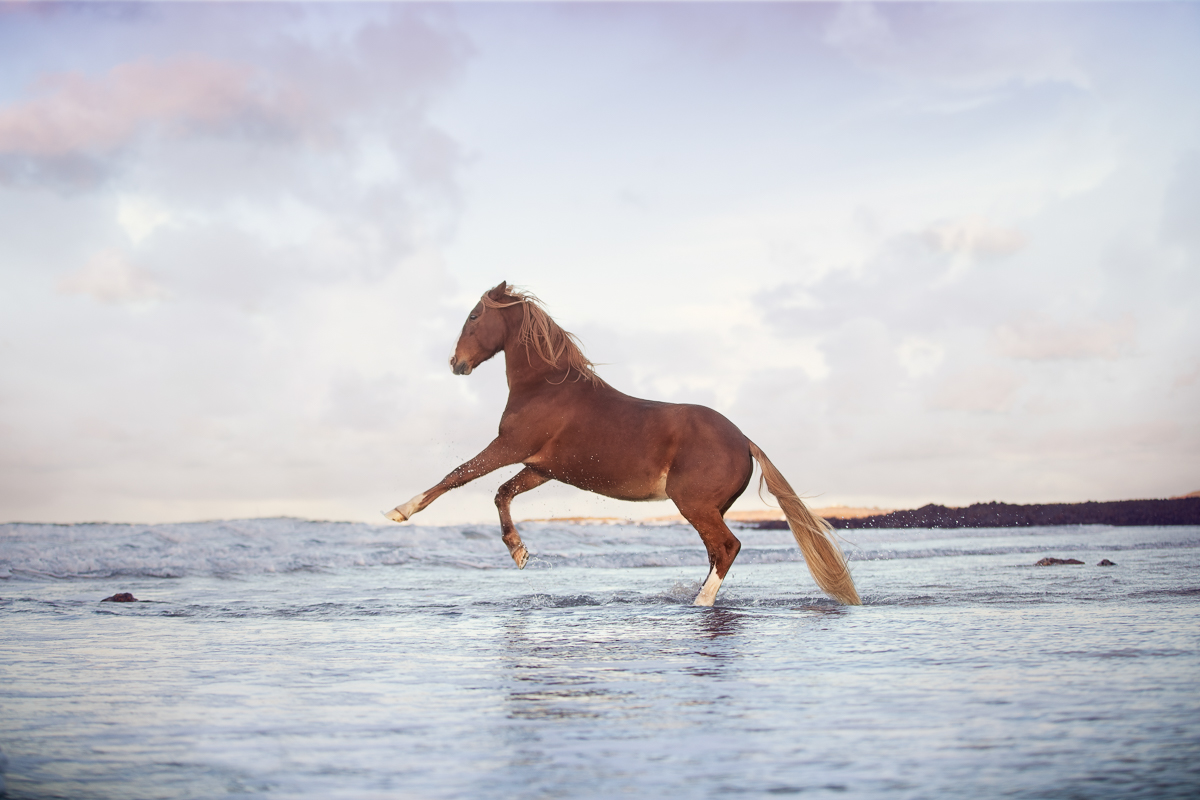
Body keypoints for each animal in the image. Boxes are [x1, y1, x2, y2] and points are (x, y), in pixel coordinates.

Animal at [387, 282, 861, 607]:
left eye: (472, 316)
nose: (456, 364)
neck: (545, 386)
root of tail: (744, 440)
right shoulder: (541, 467)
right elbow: (502, 493)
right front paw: (519, 553)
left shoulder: (510, 447)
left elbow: (457, 476)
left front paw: (400, 510)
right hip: (710, 508)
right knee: (715, 552)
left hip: (693, 504)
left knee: (728, 548)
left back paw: (699, 602)